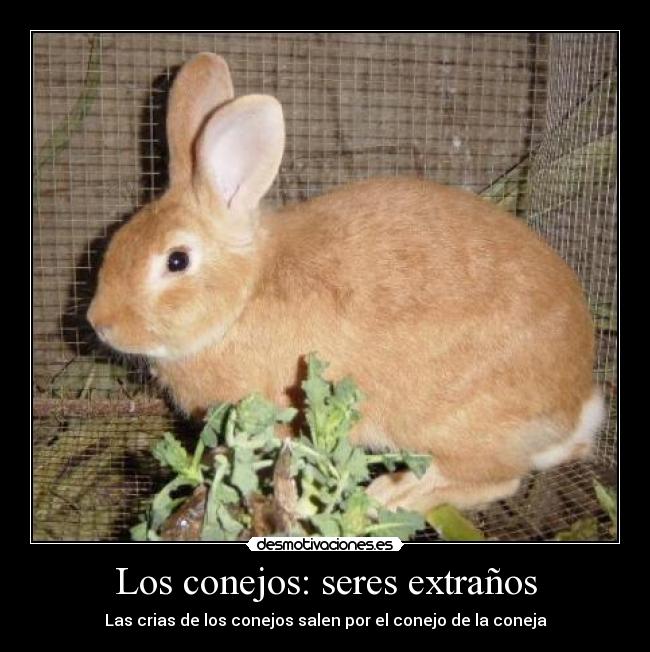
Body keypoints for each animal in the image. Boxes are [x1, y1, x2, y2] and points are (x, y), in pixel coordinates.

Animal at [87, 52, 606, 514]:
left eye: (177, 261)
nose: (99, 323)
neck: (244, 298)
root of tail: (576, 408)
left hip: (454, 424)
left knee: (496, 479)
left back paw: (392, 494)